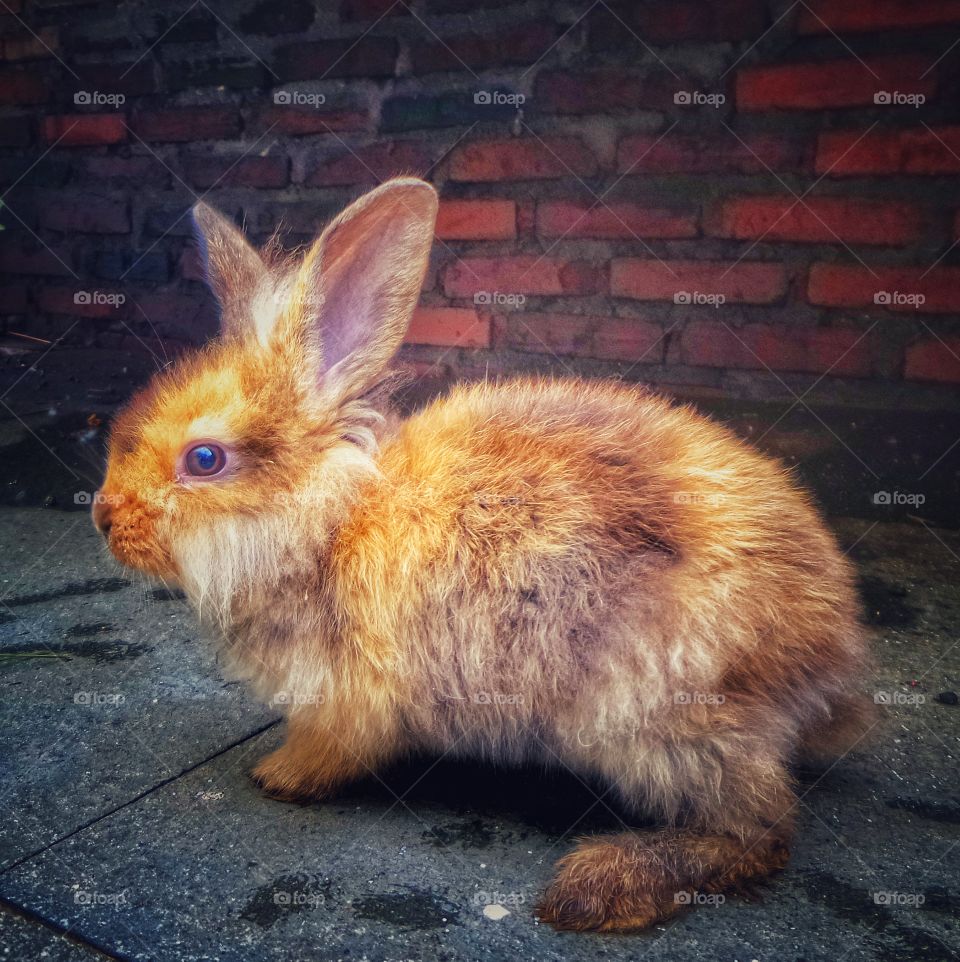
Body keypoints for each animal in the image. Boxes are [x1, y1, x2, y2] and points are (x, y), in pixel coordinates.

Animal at [93, 177, 873, 932]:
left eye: (204, 459)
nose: (103, 516)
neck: (333, 520)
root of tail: (829, 659)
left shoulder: (349, 699)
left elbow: (331, 750)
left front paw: (277, 777)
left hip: (662, 717)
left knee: (760, 831)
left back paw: (597, 890)